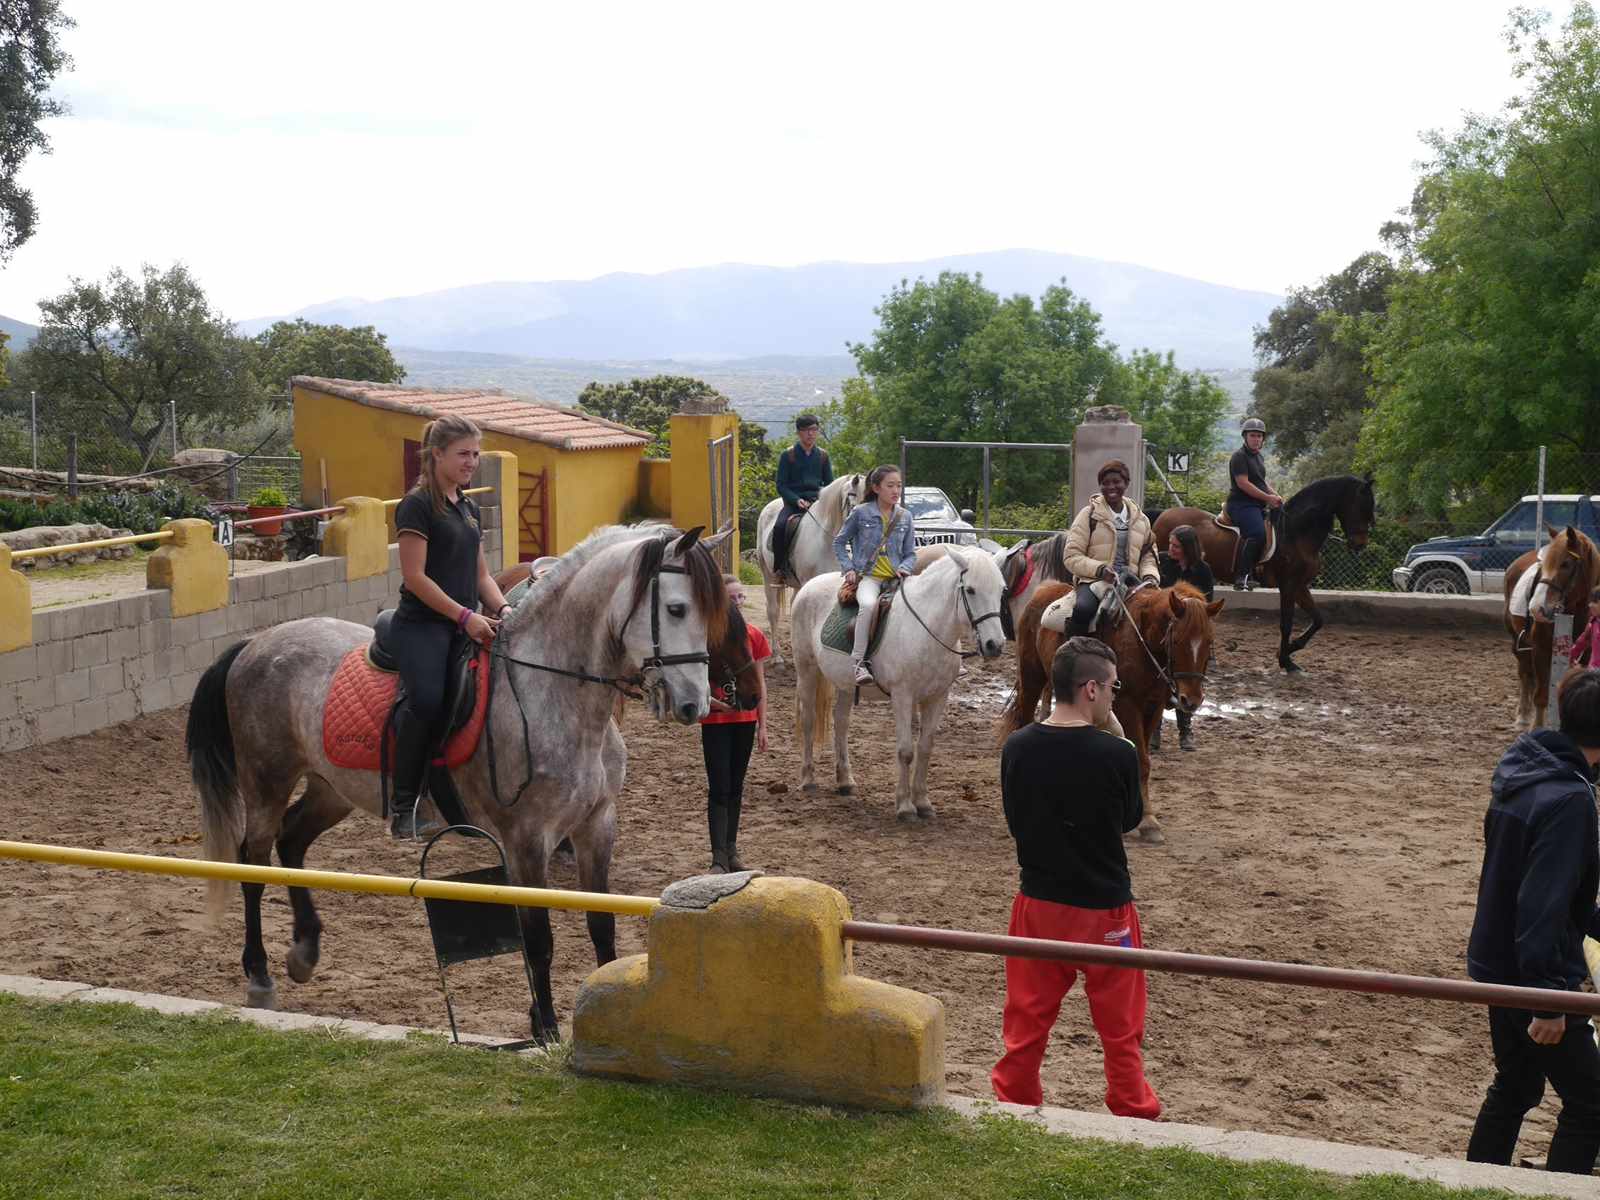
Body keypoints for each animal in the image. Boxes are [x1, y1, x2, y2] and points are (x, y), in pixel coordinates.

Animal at [793, 550, 1004, 825]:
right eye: (970, 590)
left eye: (1001, 590)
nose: (994, 645)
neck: (926, 628)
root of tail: (809, 586)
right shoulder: (903, 696)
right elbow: (905, 751)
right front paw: (905, 806)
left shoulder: (938, 697)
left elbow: (925, 748)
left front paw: (923, 803)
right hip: (806, 670)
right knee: (808, 720)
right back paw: (808, 779)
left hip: (846, 684)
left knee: (841, 724)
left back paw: (845, 781)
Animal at [998, 579, 1222, 844]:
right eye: (1177, 640)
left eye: (1208, 641)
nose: (1191, 699)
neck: (1142, 639)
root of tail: (1043, 591)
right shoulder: (1128, 704)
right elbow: (1141, 760)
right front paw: (1148, 822)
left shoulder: (1153, 707)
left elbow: (1144, 760)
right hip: (1032, 677)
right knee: (1023, 720)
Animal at [1152, 473, 1376, 678]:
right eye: (1362, 507)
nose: (1360, 545)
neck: (1296, 533)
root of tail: (1164, 514)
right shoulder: (1288, 585)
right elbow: (1286, 623)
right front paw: (1286, 661)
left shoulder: (1300, 585)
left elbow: (1318, 620)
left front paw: (1289, 651)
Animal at [1497, 524, 1600, 732]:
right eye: (1544, 566)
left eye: (1566, 564)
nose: (1537, 608)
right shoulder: (1541, 648)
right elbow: (1541, 694)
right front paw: (1537, 727)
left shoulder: (1585, 653)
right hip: (1517, 641)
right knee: (1526, 674)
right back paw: (1523, 717)